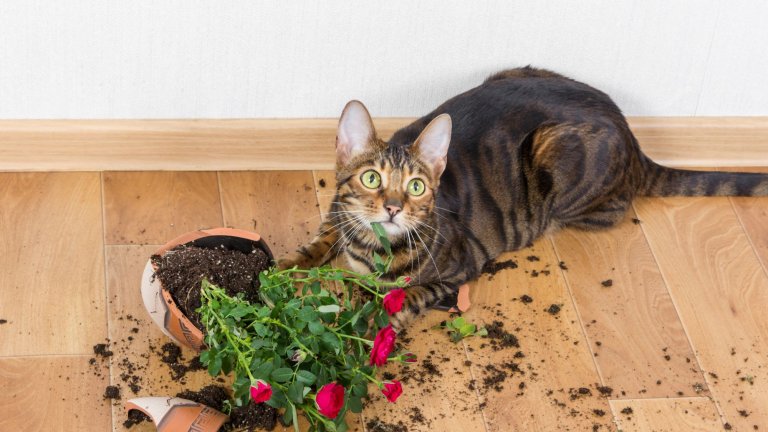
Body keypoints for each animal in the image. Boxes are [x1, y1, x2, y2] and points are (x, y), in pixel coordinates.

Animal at [278, 66, 768, 328]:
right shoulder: (338, 215)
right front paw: (284, 268)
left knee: (612, 208)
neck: (370, 249)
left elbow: (403, 298)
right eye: (371, 179)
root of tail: (633, 138)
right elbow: (321, 239)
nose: (395, 208)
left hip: (556, 154)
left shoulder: (462, 269)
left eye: (417, 186)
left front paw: (366, 326)